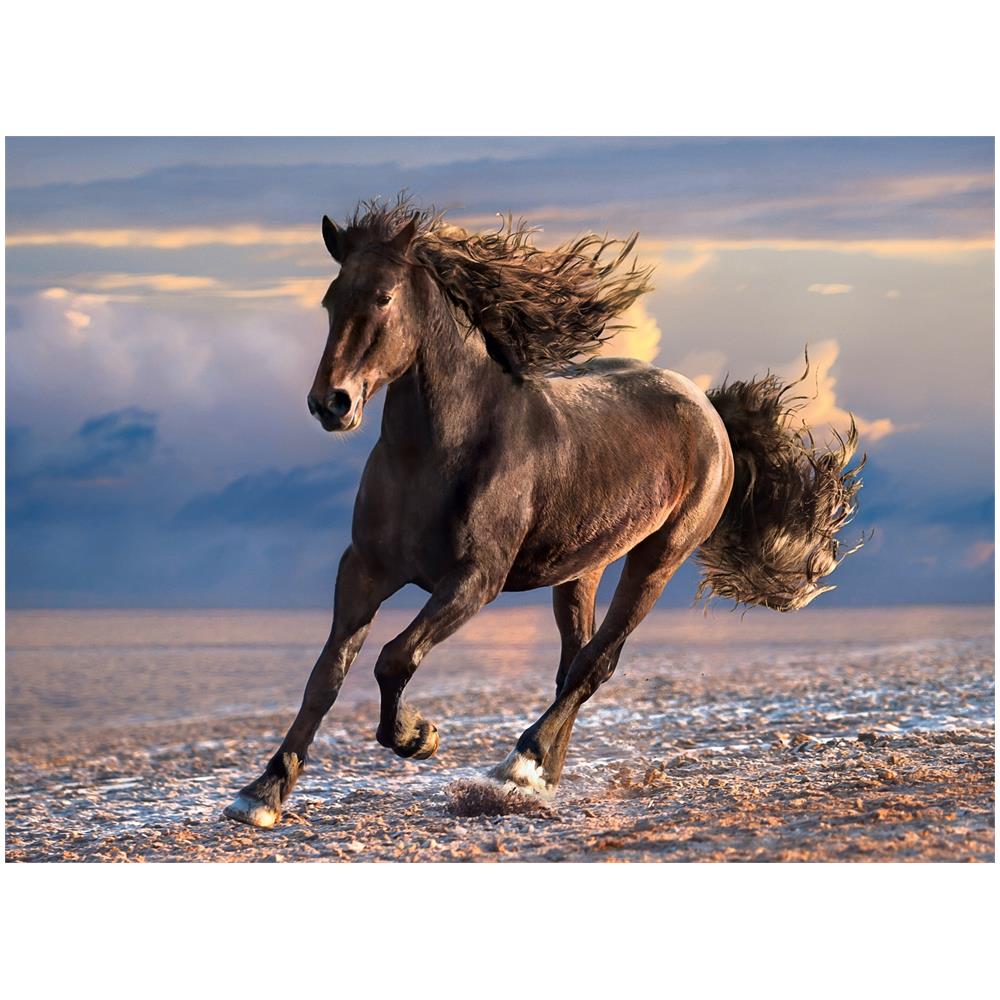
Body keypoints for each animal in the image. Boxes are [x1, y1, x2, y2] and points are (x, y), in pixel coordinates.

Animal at [224, 196, 863, 828]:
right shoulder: (364, 569)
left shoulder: (475, 579)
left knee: (596, 662)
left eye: (383, 296)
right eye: (331, 300)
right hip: (583, 567)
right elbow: (326, 676)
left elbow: (394, 657)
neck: (438, 453)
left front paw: (418, 736)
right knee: (573, 662)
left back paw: (520, 766)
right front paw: (262, 793)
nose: (331, 403)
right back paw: (541, 777)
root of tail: (708, 410)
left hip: (658, 559)